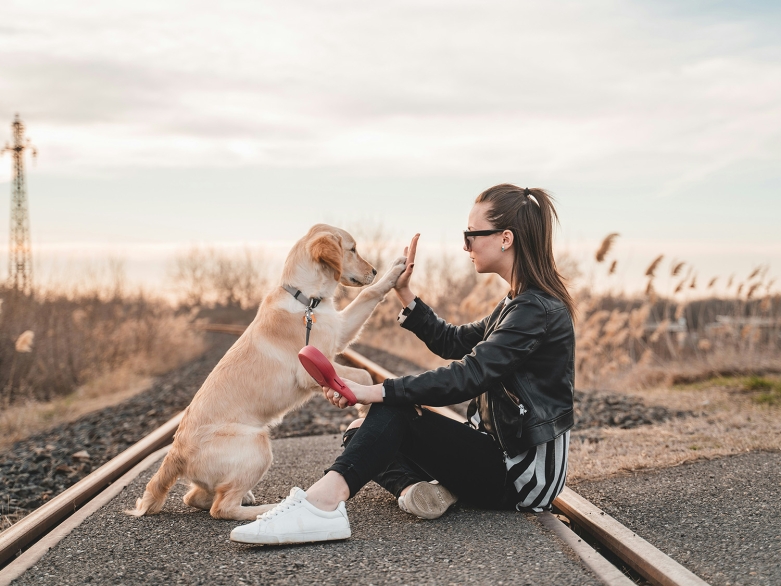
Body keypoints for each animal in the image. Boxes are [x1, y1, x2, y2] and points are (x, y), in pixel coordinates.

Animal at [125, 225, 406, 520]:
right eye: (352, 249)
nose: (374, 270)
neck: (307, 301)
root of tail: (175, 453)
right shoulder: (311, 366)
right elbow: (363, 375)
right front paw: (365, 409)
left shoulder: (339, 333)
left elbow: (368, 295)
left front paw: (395, 270)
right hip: (258, 444)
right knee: (221, 507)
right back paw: (269, 509)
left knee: (194, 497)